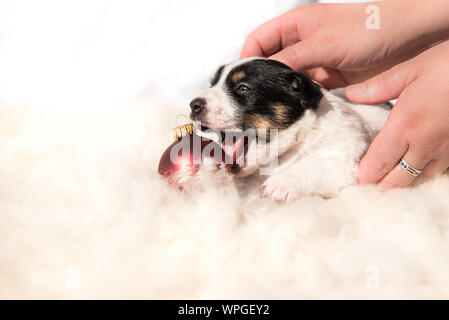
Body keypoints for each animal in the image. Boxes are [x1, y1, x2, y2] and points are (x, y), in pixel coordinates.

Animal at [188, 57, 388, 202]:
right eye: (212, 84)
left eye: (243, 87)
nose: (194, 105)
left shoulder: (345, 157)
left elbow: (317, 164)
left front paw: (283, 182)